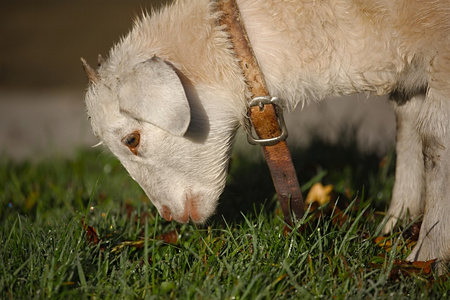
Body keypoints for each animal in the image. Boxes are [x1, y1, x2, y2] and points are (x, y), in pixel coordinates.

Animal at [84, 0, 450, 270]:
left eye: (131, 139)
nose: (169, 216)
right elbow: (408, 131)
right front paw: (396, 222)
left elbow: (435, 142)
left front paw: (427, 255)